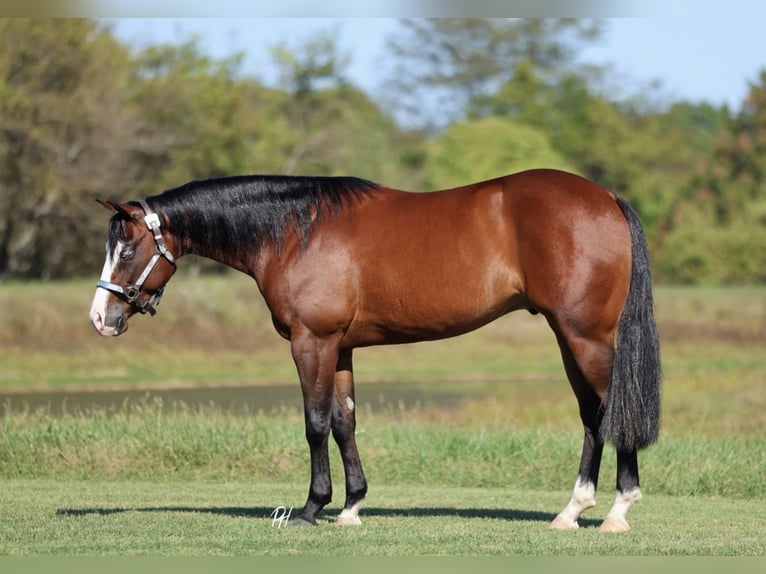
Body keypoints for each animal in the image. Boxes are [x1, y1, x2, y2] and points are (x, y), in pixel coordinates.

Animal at [89, 168, 661, 532]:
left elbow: (315, 422)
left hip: (585, 336)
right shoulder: (340, 348)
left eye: (128, 248)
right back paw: (571, 512)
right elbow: (345, 422)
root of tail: (607, 197)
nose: (100, 318)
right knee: (592, 416)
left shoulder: (312, 342)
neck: (296, 231)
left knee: (612, 412)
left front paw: (311, 508)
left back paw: (616, 512)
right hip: (570, 338)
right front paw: (350, 507)